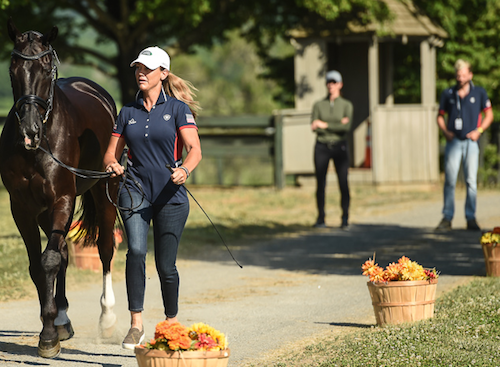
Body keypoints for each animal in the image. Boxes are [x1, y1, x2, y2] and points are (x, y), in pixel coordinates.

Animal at [0, 19, 120, 356]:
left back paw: (107, 318)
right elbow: (37, 265)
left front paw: (48, 335)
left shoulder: (62, 199)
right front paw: (51, 327)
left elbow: (49, 260)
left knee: (105, 248)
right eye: (13, 69)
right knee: (64, 251)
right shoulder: (22, 208)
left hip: (105, 192)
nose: (29, 131)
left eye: (45, 69)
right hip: (45, 212)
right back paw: (64, 320)